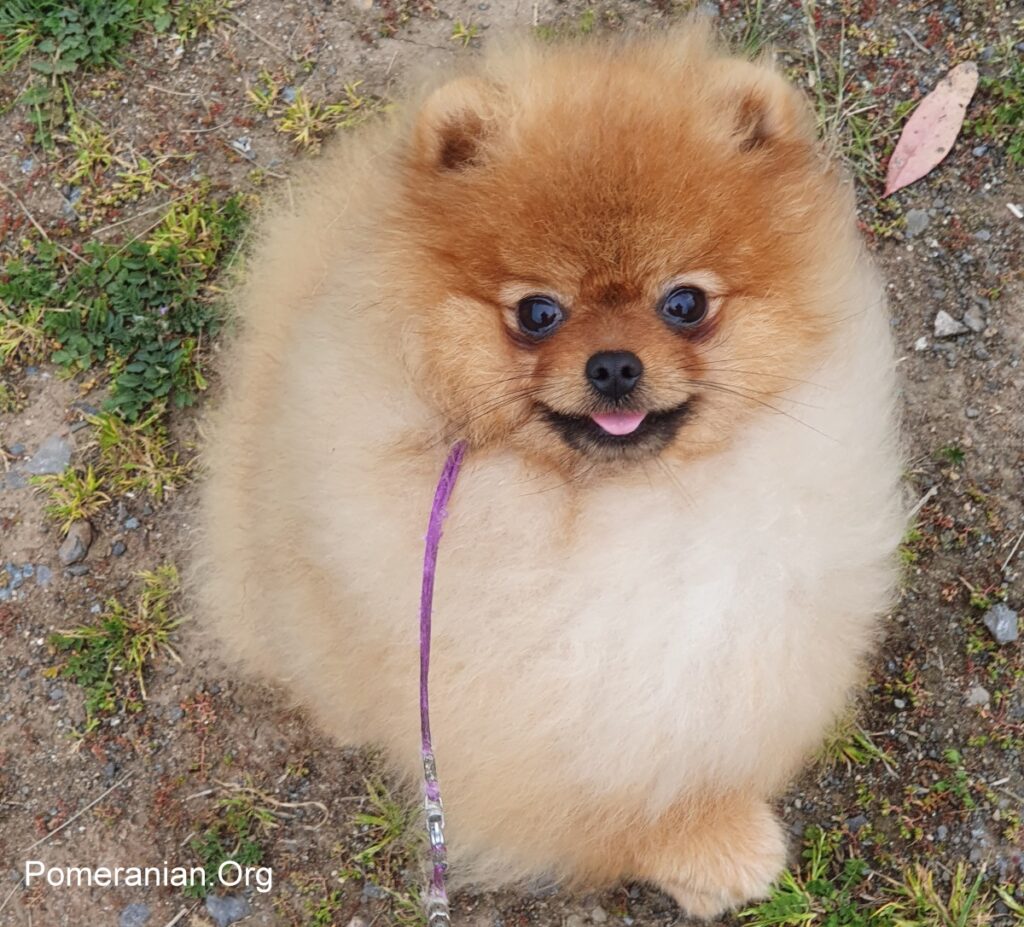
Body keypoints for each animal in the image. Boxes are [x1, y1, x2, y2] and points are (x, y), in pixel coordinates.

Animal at [201, 23, 905, 917]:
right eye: (538, 313)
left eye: (685, 303)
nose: (613, 365)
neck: (619, 507)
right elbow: (617, 800)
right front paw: (711, 848)